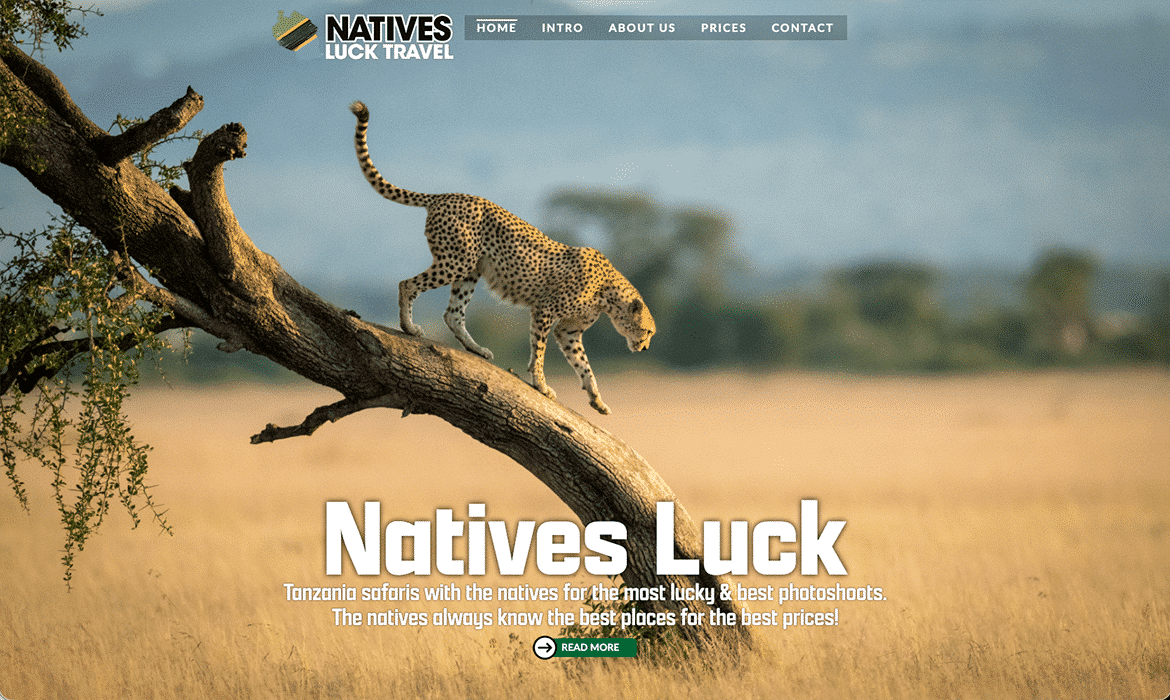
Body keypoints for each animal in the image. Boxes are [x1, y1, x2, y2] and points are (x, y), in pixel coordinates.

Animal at [349, 101, 655, 415]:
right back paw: (409, 327)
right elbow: (539, 351)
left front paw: (596, 399)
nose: (644, 347)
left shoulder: (569, 331)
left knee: (453, 313)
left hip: (470, 270)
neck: (609, 293)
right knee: (407, 284)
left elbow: (584, 364)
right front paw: (540, 384)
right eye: (648, 331)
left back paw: (475, 348)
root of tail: (446, 195)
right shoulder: (544, 310)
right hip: (455, 262)